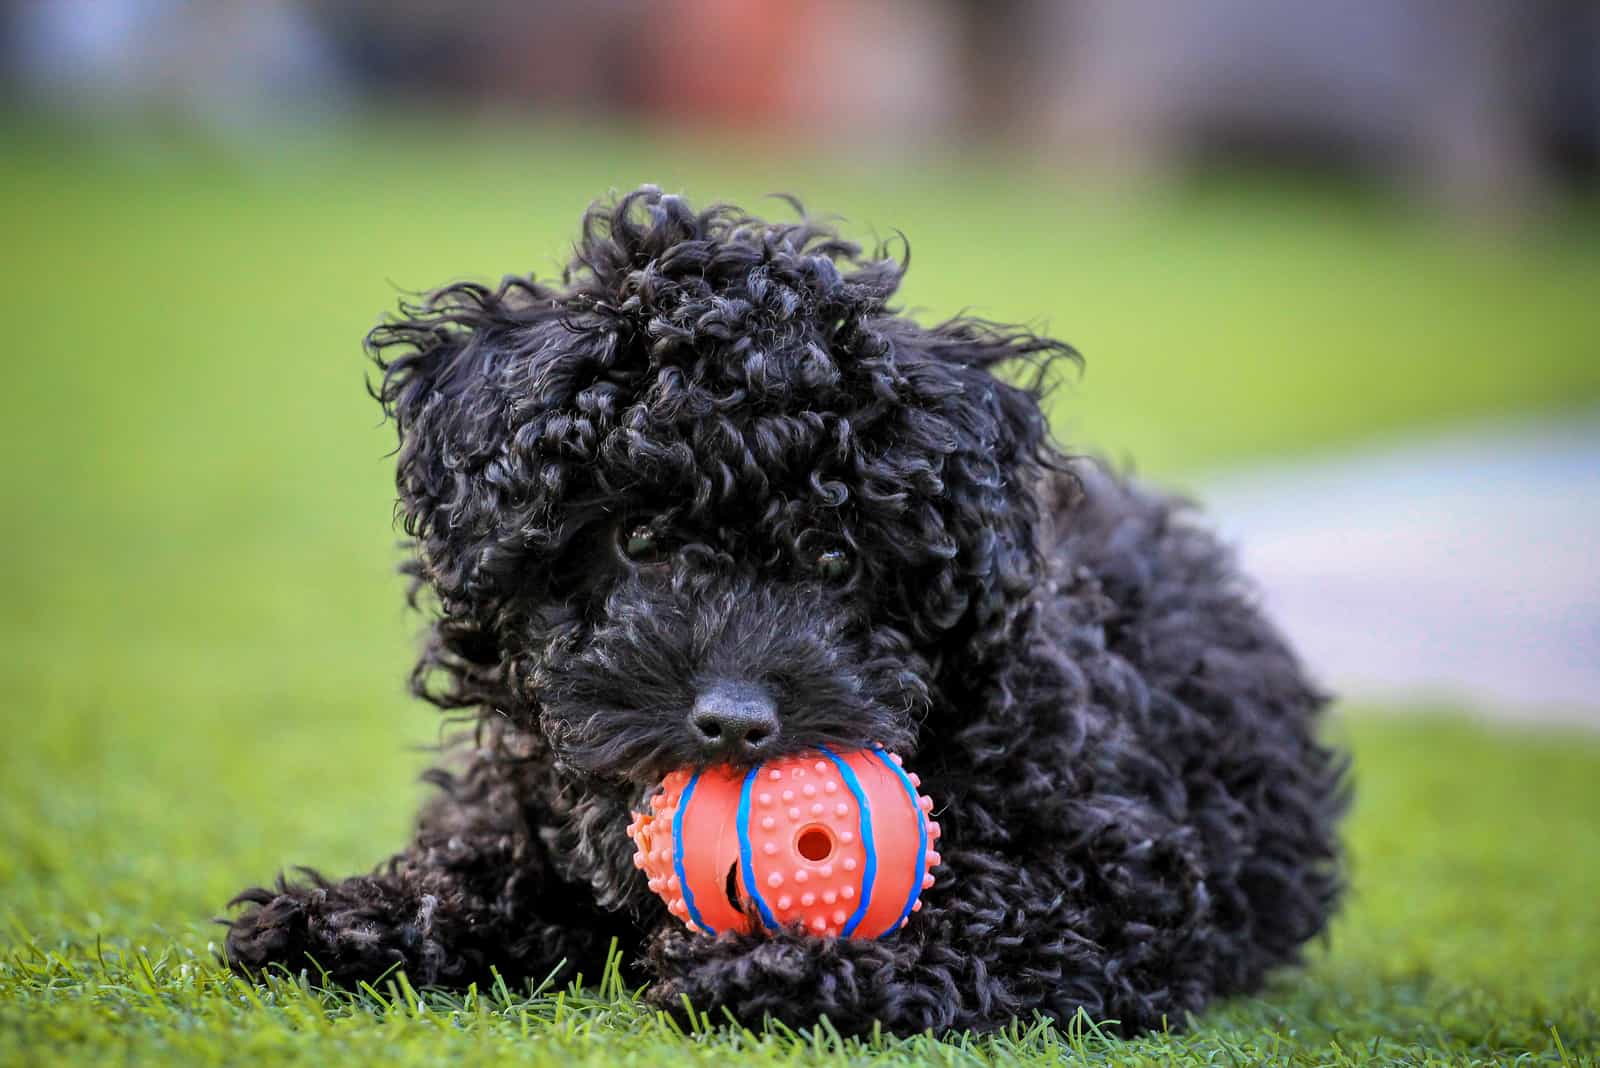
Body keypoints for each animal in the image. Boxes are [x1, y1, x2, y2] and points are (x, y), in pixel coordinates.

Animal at [225, 185, 1344, 1036]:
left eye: (836, 558)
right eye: (638, 539)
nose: (733, 722)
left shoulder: (1118, 872)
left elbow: (994, 919)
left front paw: (783, 967)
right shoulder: (525, 801)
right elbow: (498, 864)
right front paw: (350, 920)